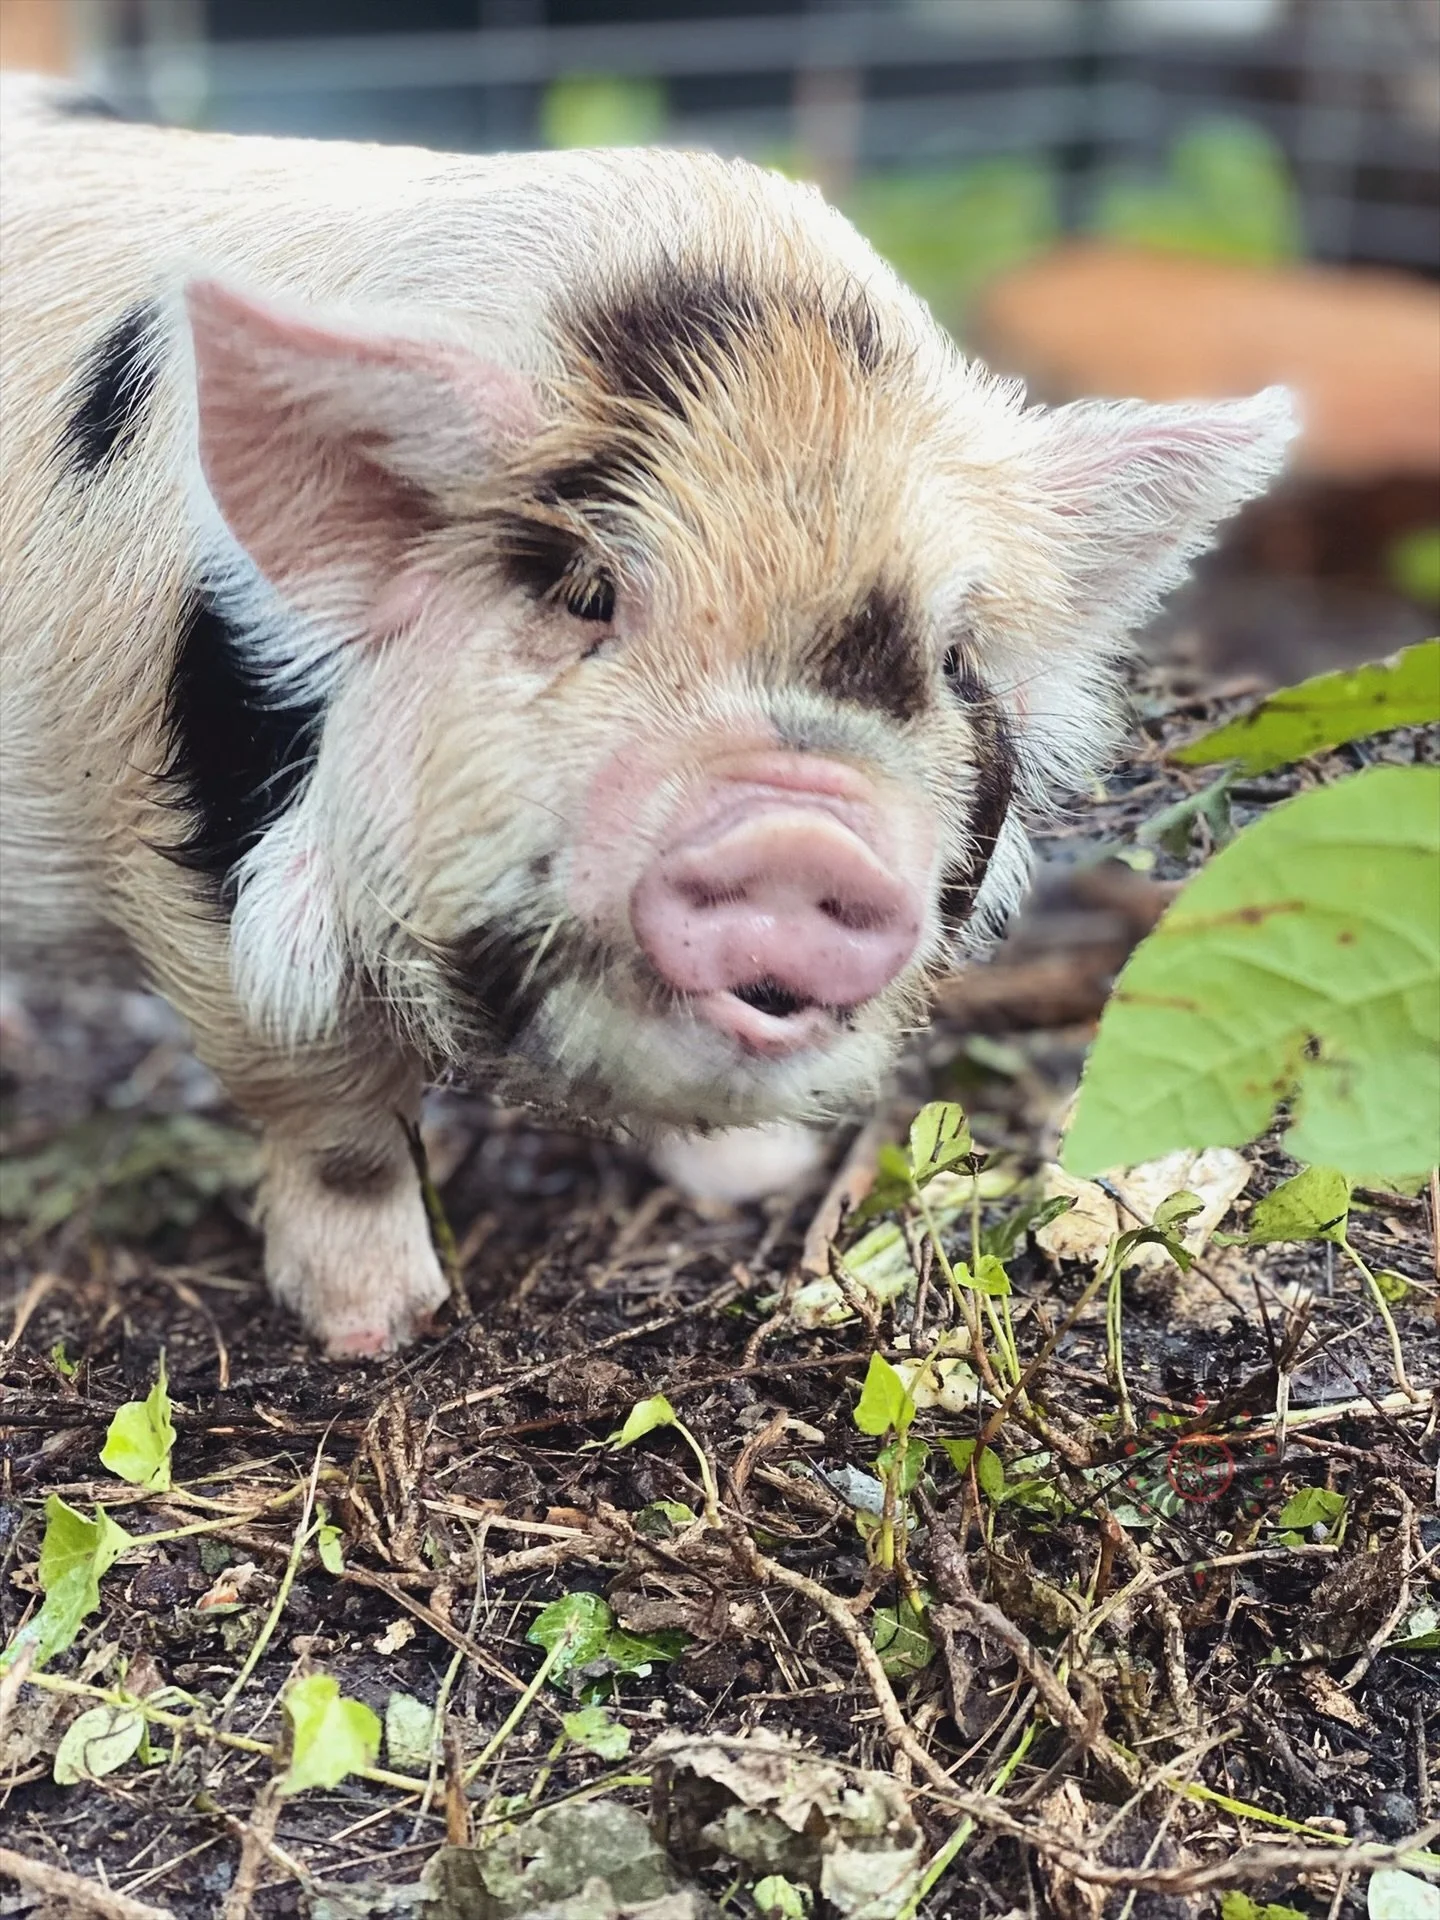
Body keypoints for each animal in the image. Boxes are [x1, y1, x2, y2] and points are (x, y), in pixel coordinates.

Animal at [0, 77, 1296, 1354]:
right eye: (588, 594)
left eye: (951, 659)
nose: (799, 829)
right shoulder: (187, 861)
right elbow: (336, 1118)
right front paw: (381, 1329)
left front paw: (765, 1185)